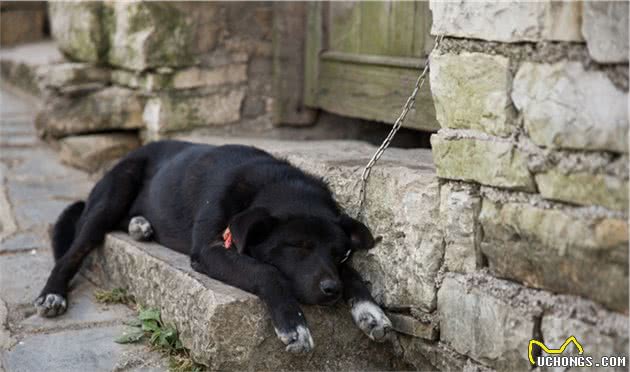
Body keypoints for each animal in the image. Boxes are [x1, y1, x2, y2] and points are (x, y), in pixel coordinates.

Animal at [34, 140, 392, 352]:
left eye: (338, 252)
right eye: (297, 246)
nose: (331, 291)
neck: (271, 183)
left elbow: (353, 274)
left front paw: (371, 312)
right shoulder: (210, 250)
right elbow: (267, 272)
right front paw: (294, 325)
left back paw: (141, 225)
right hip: (112, 195)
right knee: (72, 252)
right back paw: (52, 294)